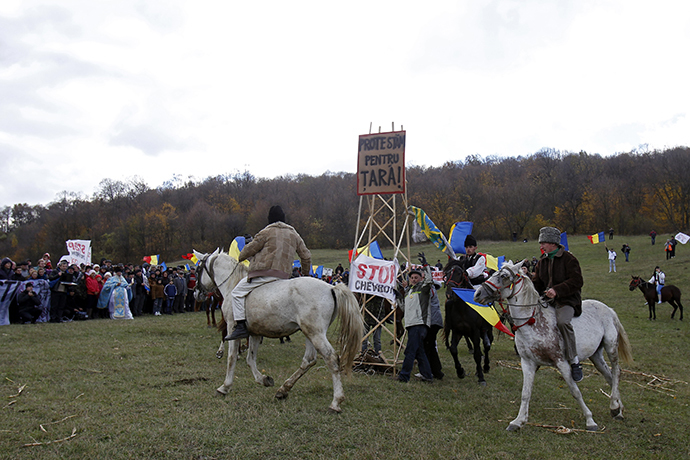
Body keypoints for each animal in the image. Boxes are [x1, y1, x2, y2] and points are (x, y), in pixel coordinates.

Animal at [191, 250, 362, 412]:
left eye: (198, 268)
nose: (195, 293)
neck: (232, 284)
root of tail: (331, 287)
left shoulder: (232, 327)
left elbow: (232, 357)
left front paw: (225, 387)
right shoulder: (255, 332)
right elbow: (250, 359)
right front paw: (264, 379)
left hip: (316, 334)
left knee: (331, 358)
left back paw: (336, 402)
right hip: (310, 333)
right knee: (309, 360)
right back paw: (283, 389)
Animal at [472, 260, 628, 434]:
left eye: (504, 276)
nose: (478, 294)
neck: (533, 323)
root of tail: (609, 309)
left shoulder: (561, 362)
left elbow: (575, 391)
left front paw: (590, 420)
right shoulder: (527, 363)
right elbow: (525, 393)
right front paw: (518, 421)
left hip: (611, 347)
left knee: (616, 372)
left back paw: (614, 406)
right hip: (596, 355)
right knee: (609, 376)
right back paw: (618, 409)